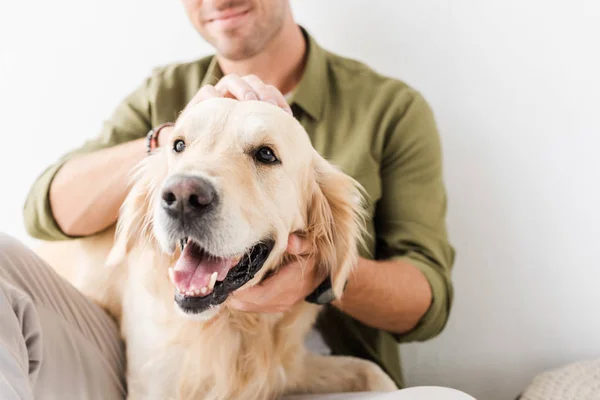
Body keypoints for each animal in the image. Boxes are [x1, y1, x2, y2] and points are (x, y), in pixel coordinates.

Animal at [35, 97, 396, 400]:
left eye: (266, 154)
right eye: (179, 145)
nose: (182, 196)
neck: (232, 323)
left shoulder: (288, 367)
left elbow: (375, 372)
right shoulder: (155, 383)